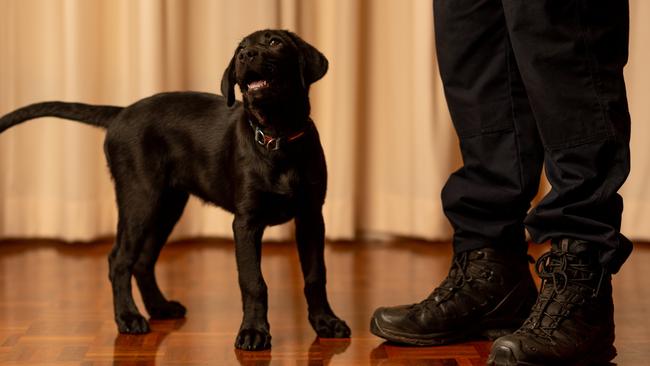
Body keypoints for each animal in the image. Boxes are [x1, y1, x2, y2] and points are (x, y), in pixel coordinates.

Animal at [0, 28, 350, 348]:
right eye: (240, 49)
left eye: (274, 42)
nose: (246, 56)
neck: (277, 138)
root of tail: (121, 113)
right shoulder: (246, 222)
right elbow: (253, 281)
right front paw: (253, 332)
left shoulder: (311, 216)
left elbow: (316, 275)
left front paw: (325, 322)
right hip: (140, 198)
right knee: (120, 260)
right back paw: (128, 318)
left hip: (167, 204)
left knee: (143, 260)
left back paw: (159, 307)